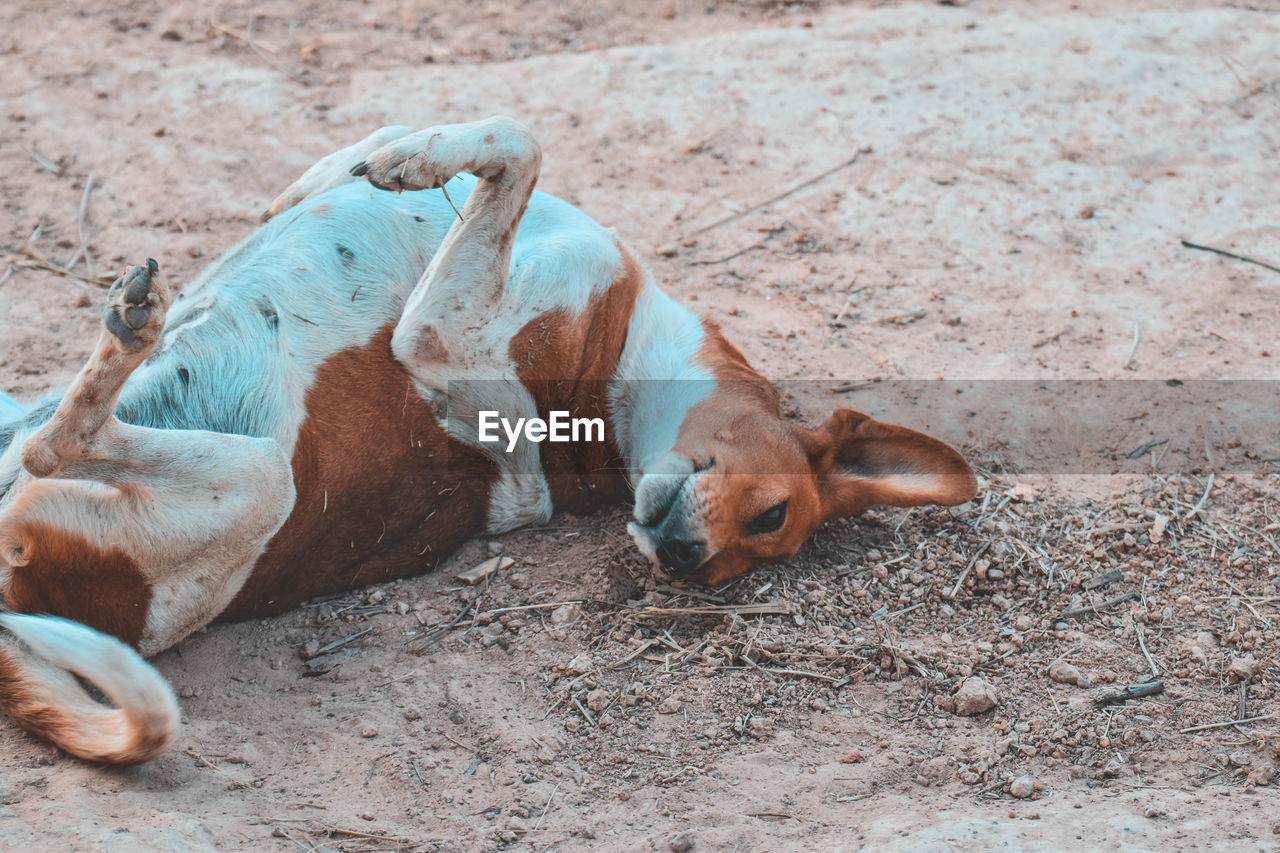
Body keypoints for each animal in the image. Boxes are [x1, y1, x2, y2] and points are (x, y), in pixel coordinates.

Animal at [0, 114, 972, 763]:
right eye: (772, 515)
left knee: (59, 444)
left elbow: (518, 142)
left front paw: (420, 159)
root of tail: (34, 601)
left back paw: (129, 335)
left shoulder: (435, 342)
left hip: (256, 482)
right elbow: (387, 151)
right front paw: (407, 153)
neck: (623, 367)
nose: (685, 560)